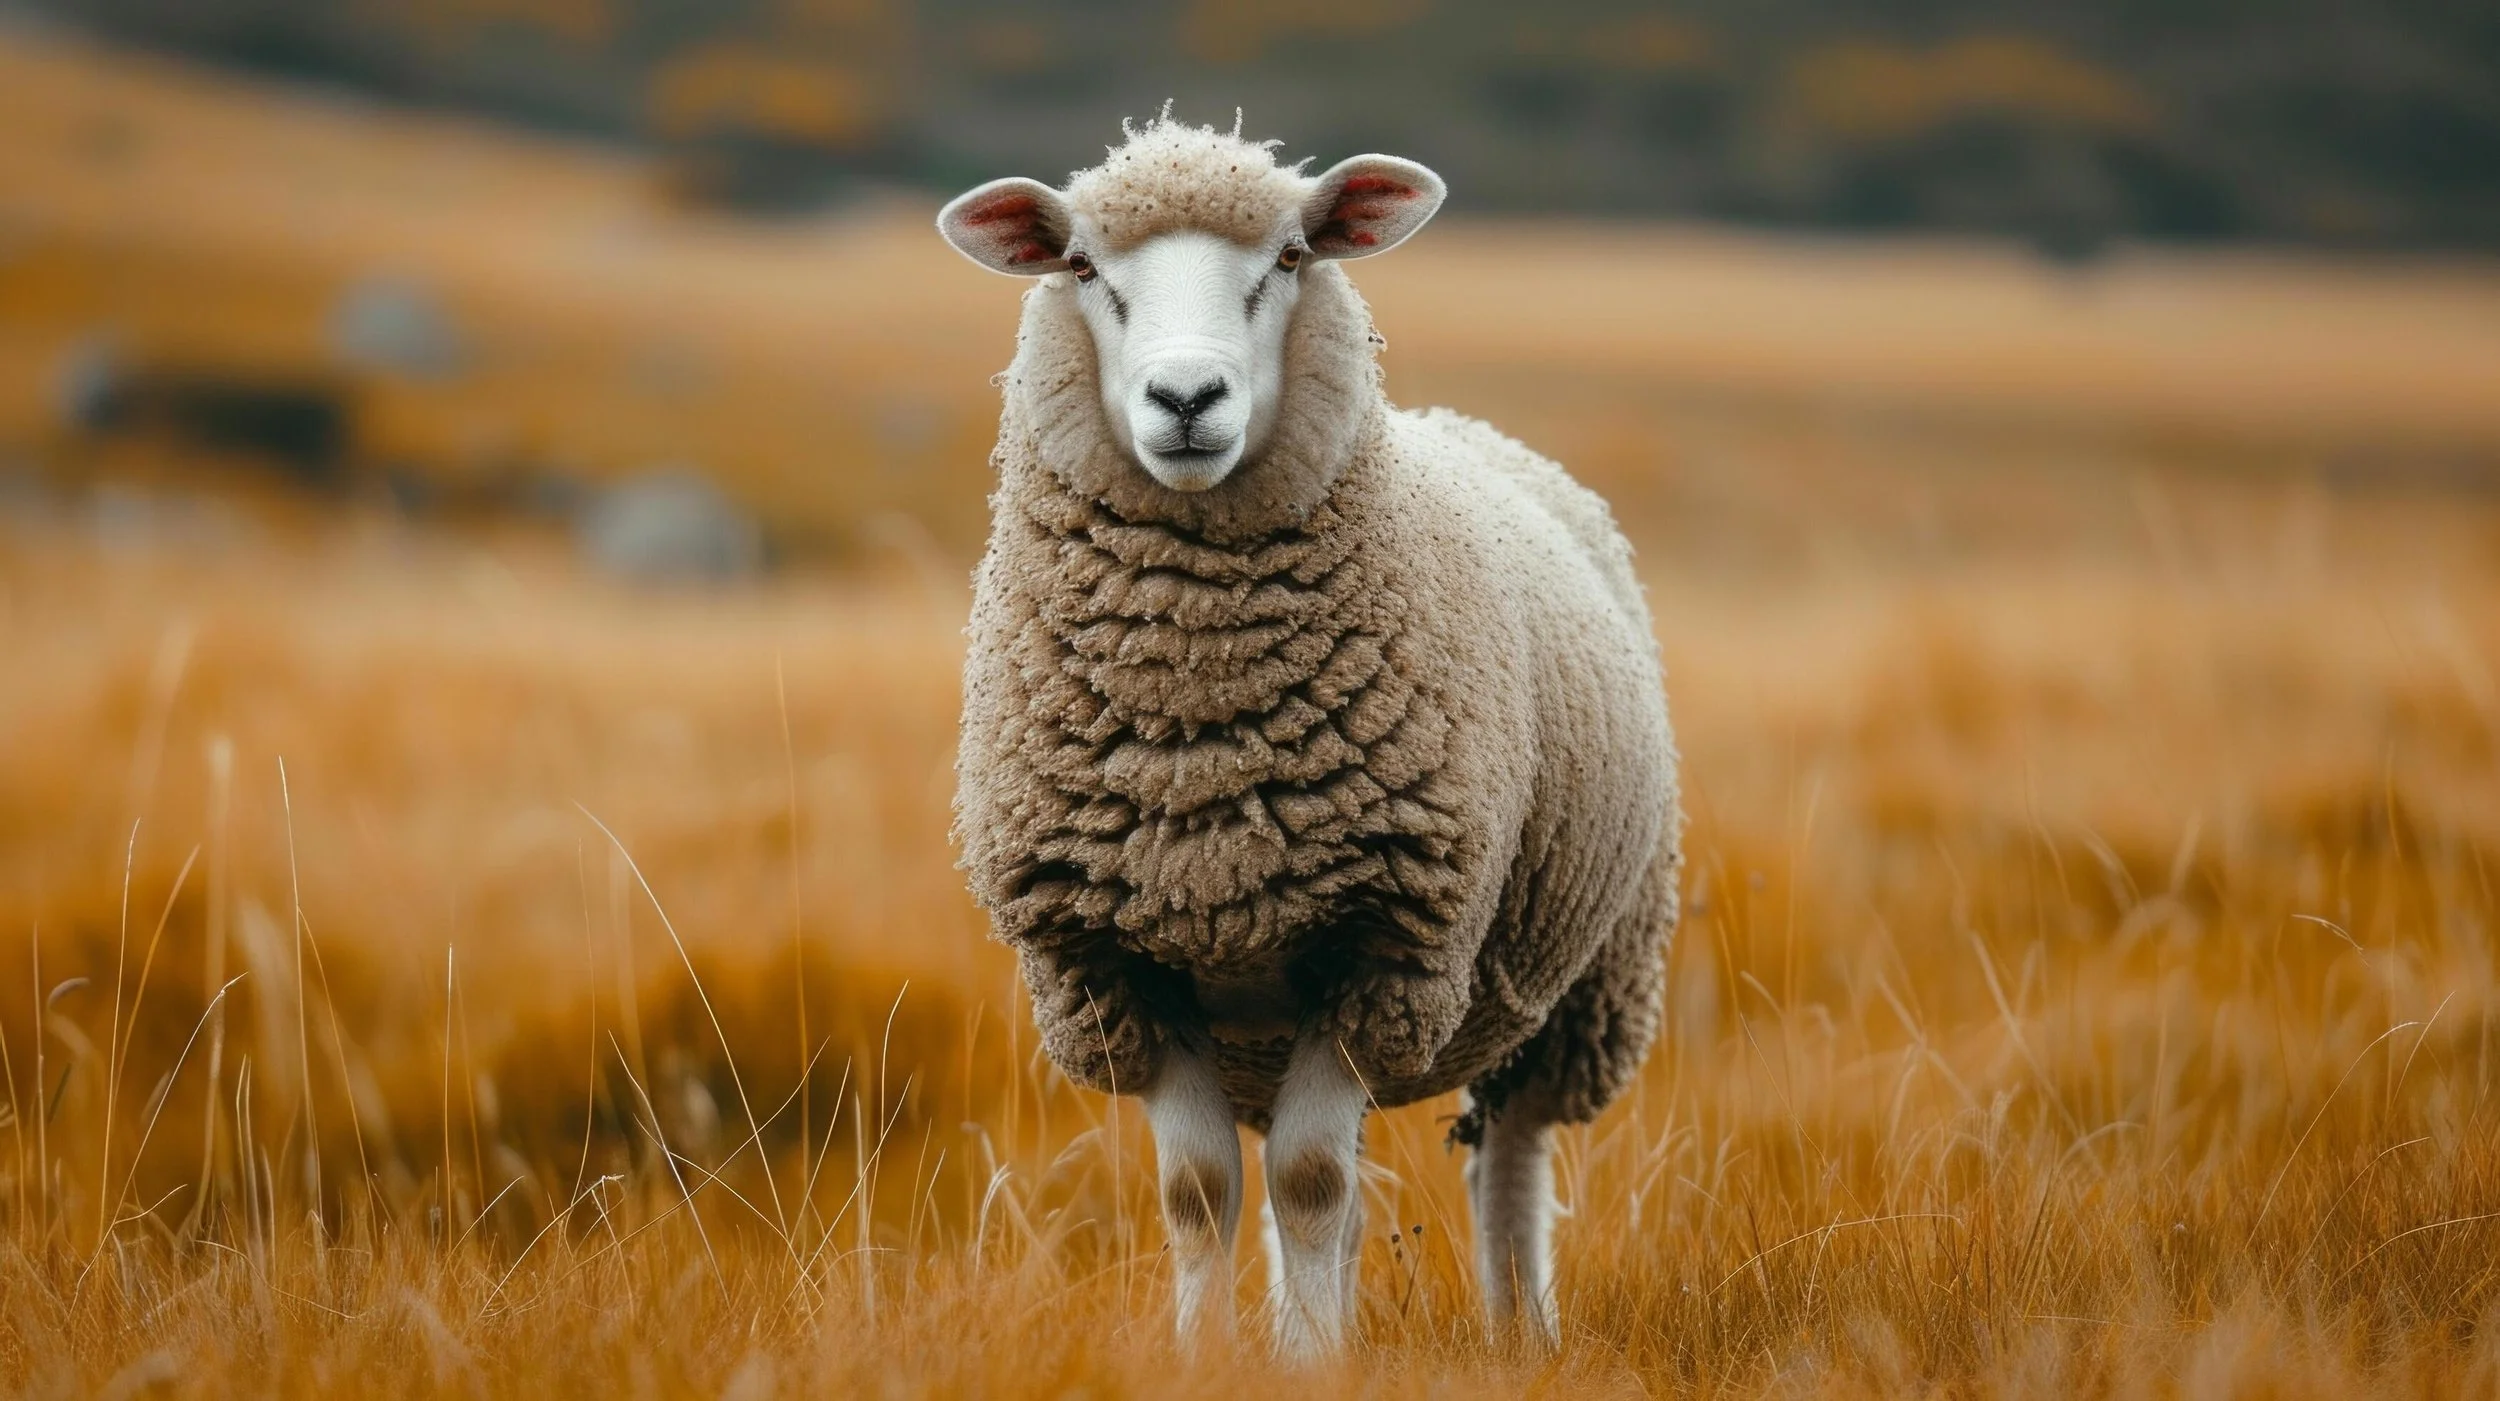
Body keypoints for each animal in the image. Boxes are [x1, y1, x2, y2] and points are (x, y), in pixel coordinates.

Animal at [940, 113, 1680, 1357]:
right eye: (1083, 268)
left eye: (1289, 258)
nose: (1187, 398)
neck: (1201, 736)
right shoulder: (1117, 961)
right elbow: (1202, 1190)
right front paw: (1206, 1359)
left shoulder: (1382, 940)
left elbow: (1310, 1182)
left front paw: (1314, 1361)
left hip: (1580, 980)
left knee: (1509, 1159)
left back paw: (1520, 1330)